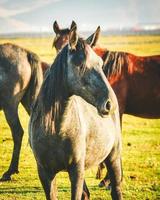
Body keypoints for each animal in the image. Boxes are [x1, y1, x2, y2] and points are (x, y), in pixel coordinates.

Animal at [29, 25, 122, 200]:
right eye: (81, 64)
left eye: (100, 63)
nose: (110, 104)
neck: (56, 130)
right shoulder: (45, 173)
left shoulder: (76, 171)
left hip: (113, 158)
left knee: (116, 190)